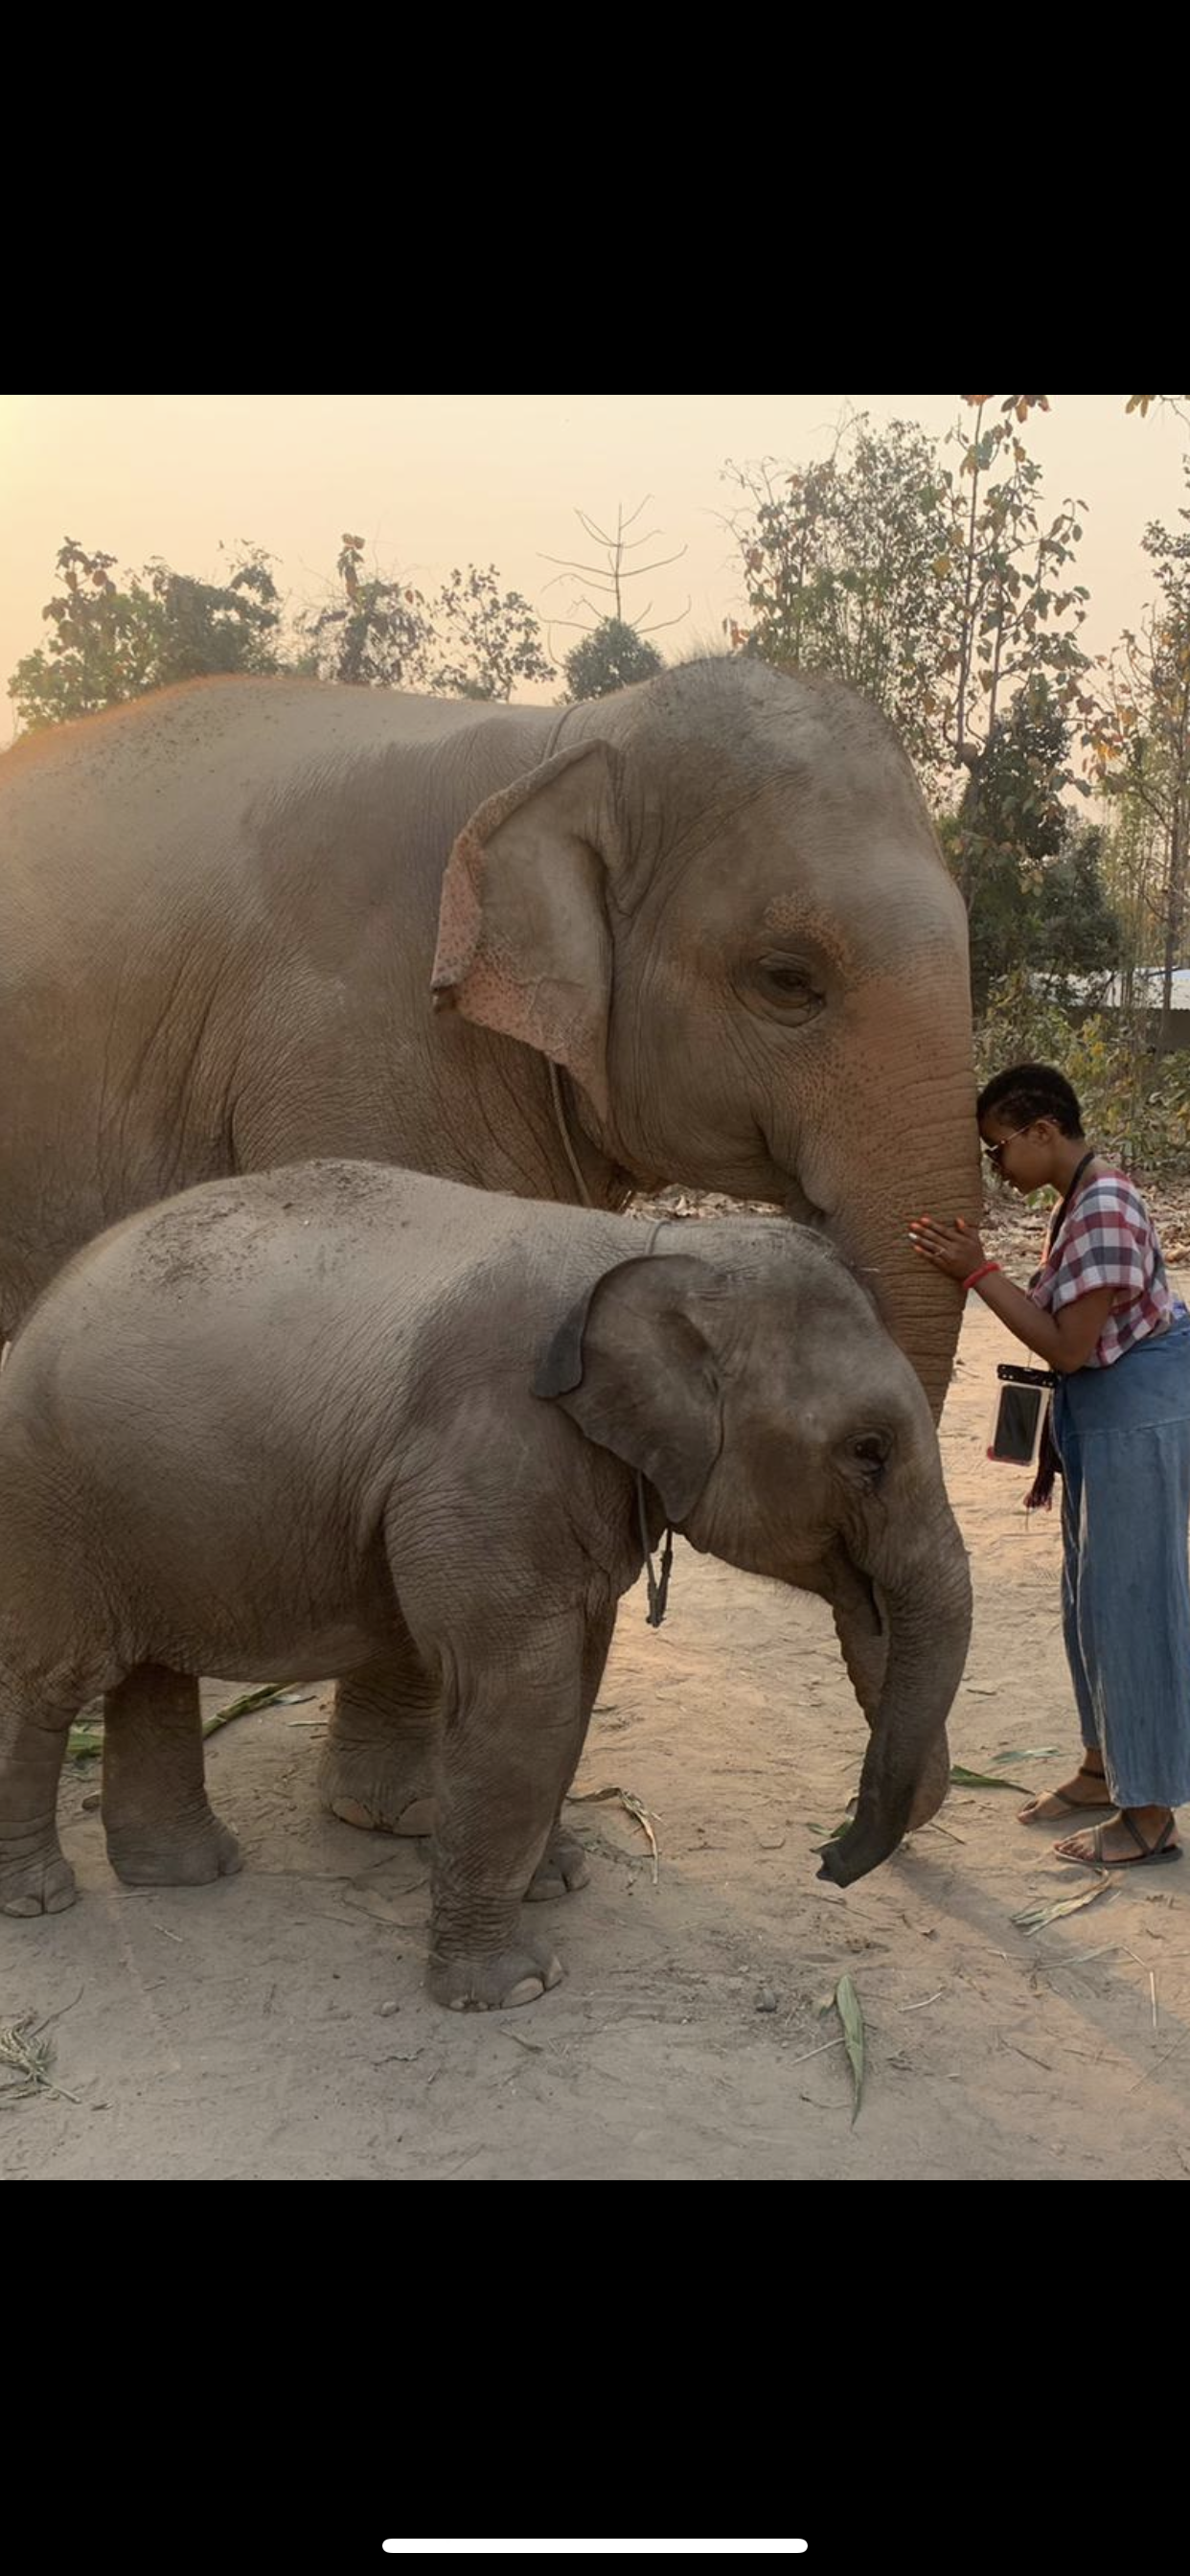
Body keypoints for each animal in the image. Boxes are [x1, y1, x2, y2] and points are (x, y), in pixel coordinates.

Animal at [0, 1161, 972, 2008]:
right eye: (868, 1451)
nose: (827, 1860)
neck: (655, 1247)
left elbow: (578, 1677)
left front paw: (559, 1880)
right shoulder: (490, 1460)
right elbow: (521, 1695)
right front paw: (515, 1988)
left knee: (150, 1670)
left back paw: (188, 1874)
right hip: (49, 1497)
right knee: (48, 1680)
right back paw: (40, 1900)